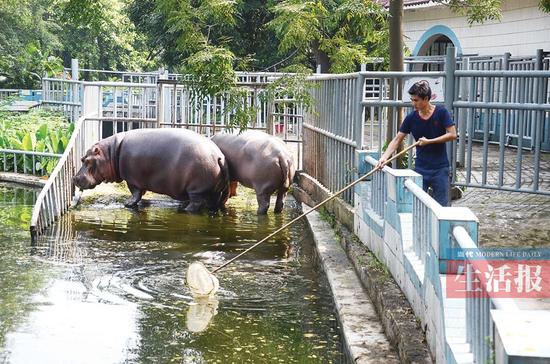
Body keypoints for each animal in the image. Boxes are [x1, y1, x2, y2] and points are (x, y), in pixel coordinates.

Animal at [73, 128, 229, 213]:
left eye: (87, 161)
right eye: (82, 158)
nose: (74, 178)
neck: (111, 153)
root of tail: (219, 156)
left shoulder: (131, 179)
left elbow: (135, 193)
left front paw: (128, 204)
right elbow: (141, 193)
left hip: (196, 189)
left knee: (196, 203)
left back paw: (185, 210)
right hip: (213, 190)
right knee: (212, 203)